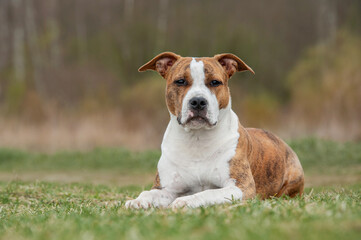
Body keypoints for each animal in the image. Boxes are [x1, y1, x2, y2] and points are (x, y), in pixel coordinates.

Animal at [125, 52, 302, 208]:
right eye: (180, 81)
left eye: (215, 82)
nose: (198, 101)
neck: (197, 139)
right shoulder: (167, 188)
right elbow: (149, 193)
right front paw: (137, 201)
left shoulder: (240, 187)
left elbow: (208, 192)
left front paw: (186, 201)